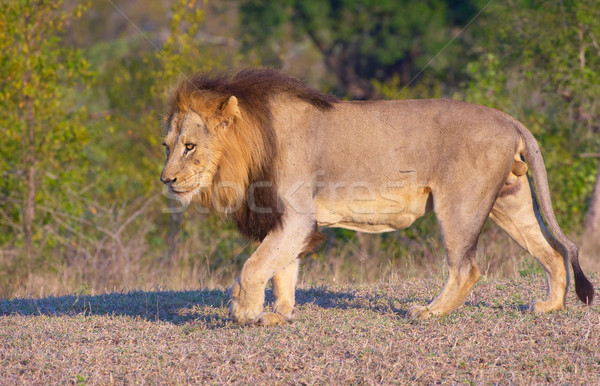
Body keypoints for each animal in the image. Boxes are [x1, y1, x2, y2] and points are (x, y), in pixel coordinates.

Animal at [161, 68, 596, 324]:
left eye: (189, 146)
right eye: (167, 145)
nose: (166, 180)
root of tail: (509, 119)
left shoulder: (297, 215)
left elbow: (255, 266)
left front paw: (243, 311)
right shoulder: (287, 219)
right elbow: (282, 268)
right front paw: (279, 314)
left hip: (459, 204)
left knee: (467, 269)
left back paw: (429, 312)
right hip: (511, 201)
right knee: (552, 252)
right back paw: (550, 306)